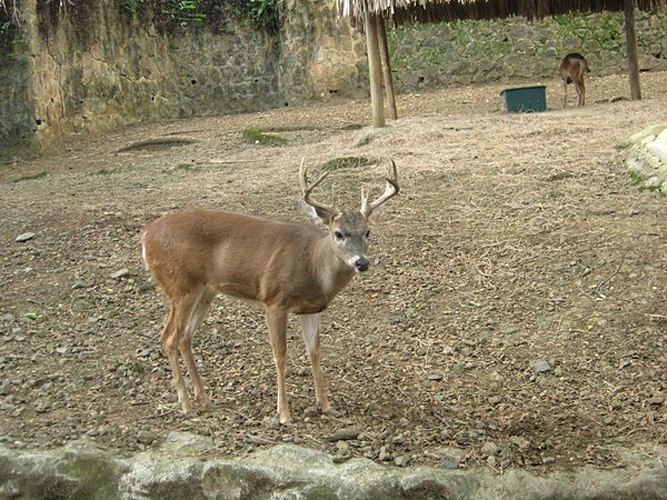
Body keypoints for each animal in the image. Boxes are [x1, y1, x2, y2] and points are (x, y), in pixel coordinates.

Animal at [141, 159, 400, 422]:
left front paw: (326, 405)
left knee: (185, 337)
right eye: (338, 233)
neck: (314, 265)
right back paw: (186, 404)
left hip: (206, 292)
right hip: (180, 285)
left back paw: (204, 399)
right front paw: (284, 414)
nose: (362, 262)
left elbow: (314, 352)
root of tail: (146, 234)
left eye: (367, 232)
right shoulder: (274, 301)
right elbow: (280, 355)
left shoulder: (313, 309)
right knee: (169, 337)